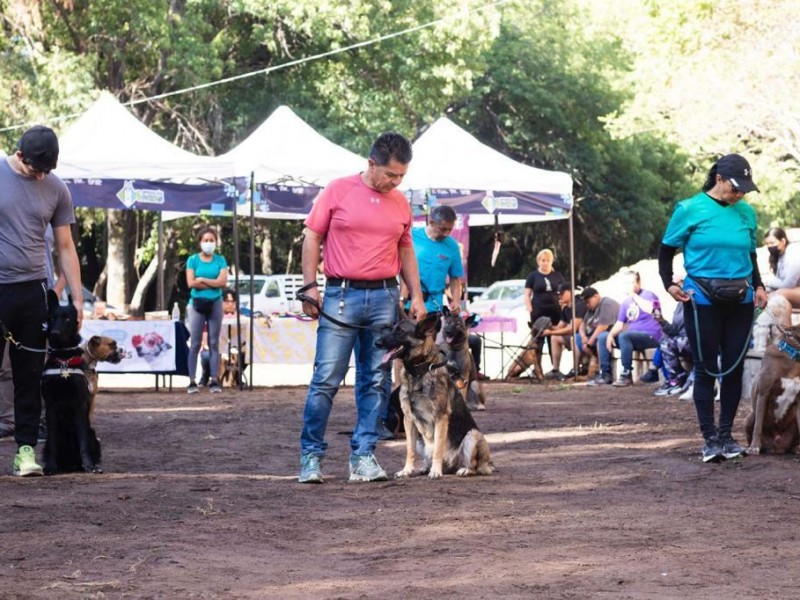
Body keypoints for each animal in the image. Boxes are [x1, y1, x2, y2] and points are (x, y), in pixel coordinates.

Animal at [42, 290, 102, 474]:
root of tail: (71, 464)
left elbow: (83, 443)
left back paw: (91, 465)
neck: (63, 360)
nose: (54, 333)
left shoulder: (79, 406)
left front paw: (89, 465)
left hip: (93, 434)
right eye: (52, 318)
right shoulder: (51, 406)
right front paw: (51, 466)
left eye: (67, 319)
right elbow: (53, 442)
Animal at [376, 314, 494, 478]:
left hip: (472, 435)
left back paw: (462, 469)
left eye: (399, 331)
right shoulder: (408, 420)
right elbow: (409, 450)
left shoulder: (440, 417)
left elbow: (438, 448)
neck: (418, 372)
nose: (377, 343)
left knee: (474, 465)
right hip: (420, 440)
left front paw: (436, 471)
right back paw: (426, 467)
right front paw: (407, 470)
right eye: (391, 328)